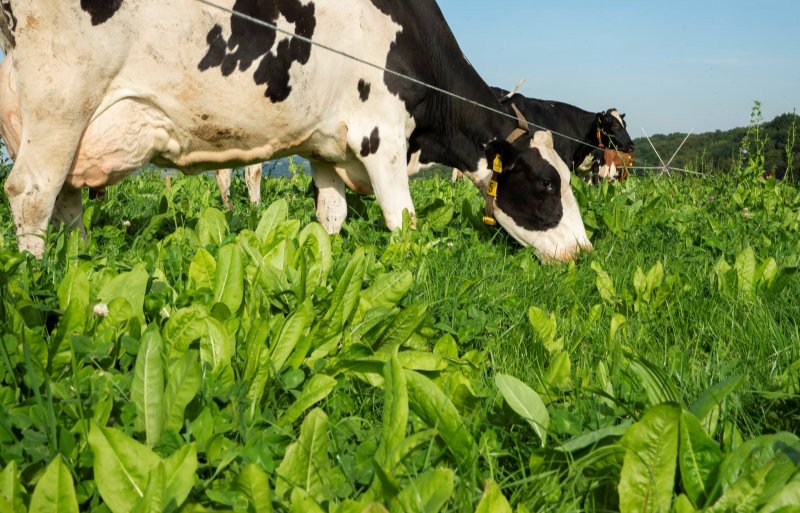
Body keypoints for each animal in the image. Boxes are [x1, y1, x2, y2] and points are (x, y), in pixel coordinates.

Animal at [0, 1, 588, 260]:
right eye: (547, 184)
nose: (583, 251)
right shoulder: (381, 137)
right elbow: (404, 222)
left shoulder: (328, 148)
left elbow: (330, 217)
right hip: (61, 99)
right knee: (32, 194)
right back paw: (40, 281)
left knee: (66, 199)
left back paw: (80, 266)